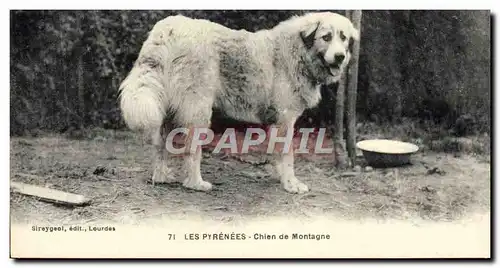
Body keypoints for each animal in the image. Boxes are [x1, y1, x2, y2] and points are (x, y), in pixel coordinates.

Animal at [118, 12, 360, 193]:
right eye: (326, 37)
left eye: (343, 38)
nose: (340, 57)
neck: (297, 51)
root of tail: (167, 29)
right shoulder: (285, 120)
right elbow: (288, 156)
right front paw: (291, 184)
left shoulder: (276, 122)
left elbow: (277, 154)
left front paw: (280, 177)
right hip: (198, 111)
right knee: (191, 150)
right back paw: (195, 183)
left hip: (169, 111)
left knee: (160, 144)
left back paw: (161, 177)